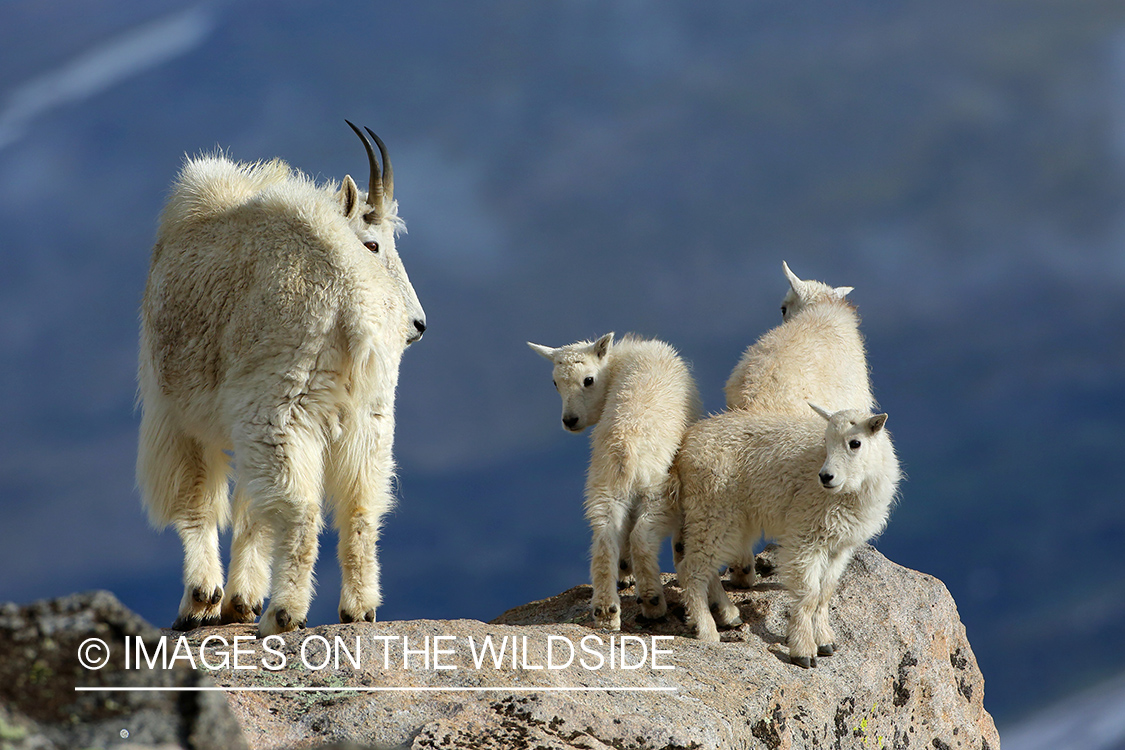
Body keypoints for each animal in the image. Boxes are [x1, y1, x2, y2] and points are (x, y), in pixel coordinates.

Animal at [137, 122, 425, 634]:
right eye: (373, 243)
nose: (419, 325)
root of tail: (353, 301)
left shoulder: (175, 414)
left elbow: (196, 501)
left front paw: (201, 601)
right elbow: (249, 511)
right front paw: (237, 602)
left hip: (281, 408)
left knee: (301, 508)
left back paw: (283, 612)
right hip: (368, 416)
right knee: (361, 504)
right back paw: (358, 608)